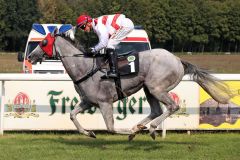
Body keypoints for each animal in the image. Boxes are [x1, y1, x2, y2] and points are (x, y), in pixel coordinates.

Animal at [27, 31, 233, 140]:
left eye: (43, 42)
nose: (30, 56)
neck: (85, 67)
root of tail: (177, 59)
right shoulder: (88, 101)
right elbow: (72, 115)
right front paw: (89, 132)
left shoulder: (104, 102)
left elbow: (111, 128)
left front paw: (130, 132)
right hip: (148, 89)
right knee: (157, 110)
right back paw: (140, 126)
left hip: (157, 87)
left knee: (172, 106)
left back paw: (149, 128)